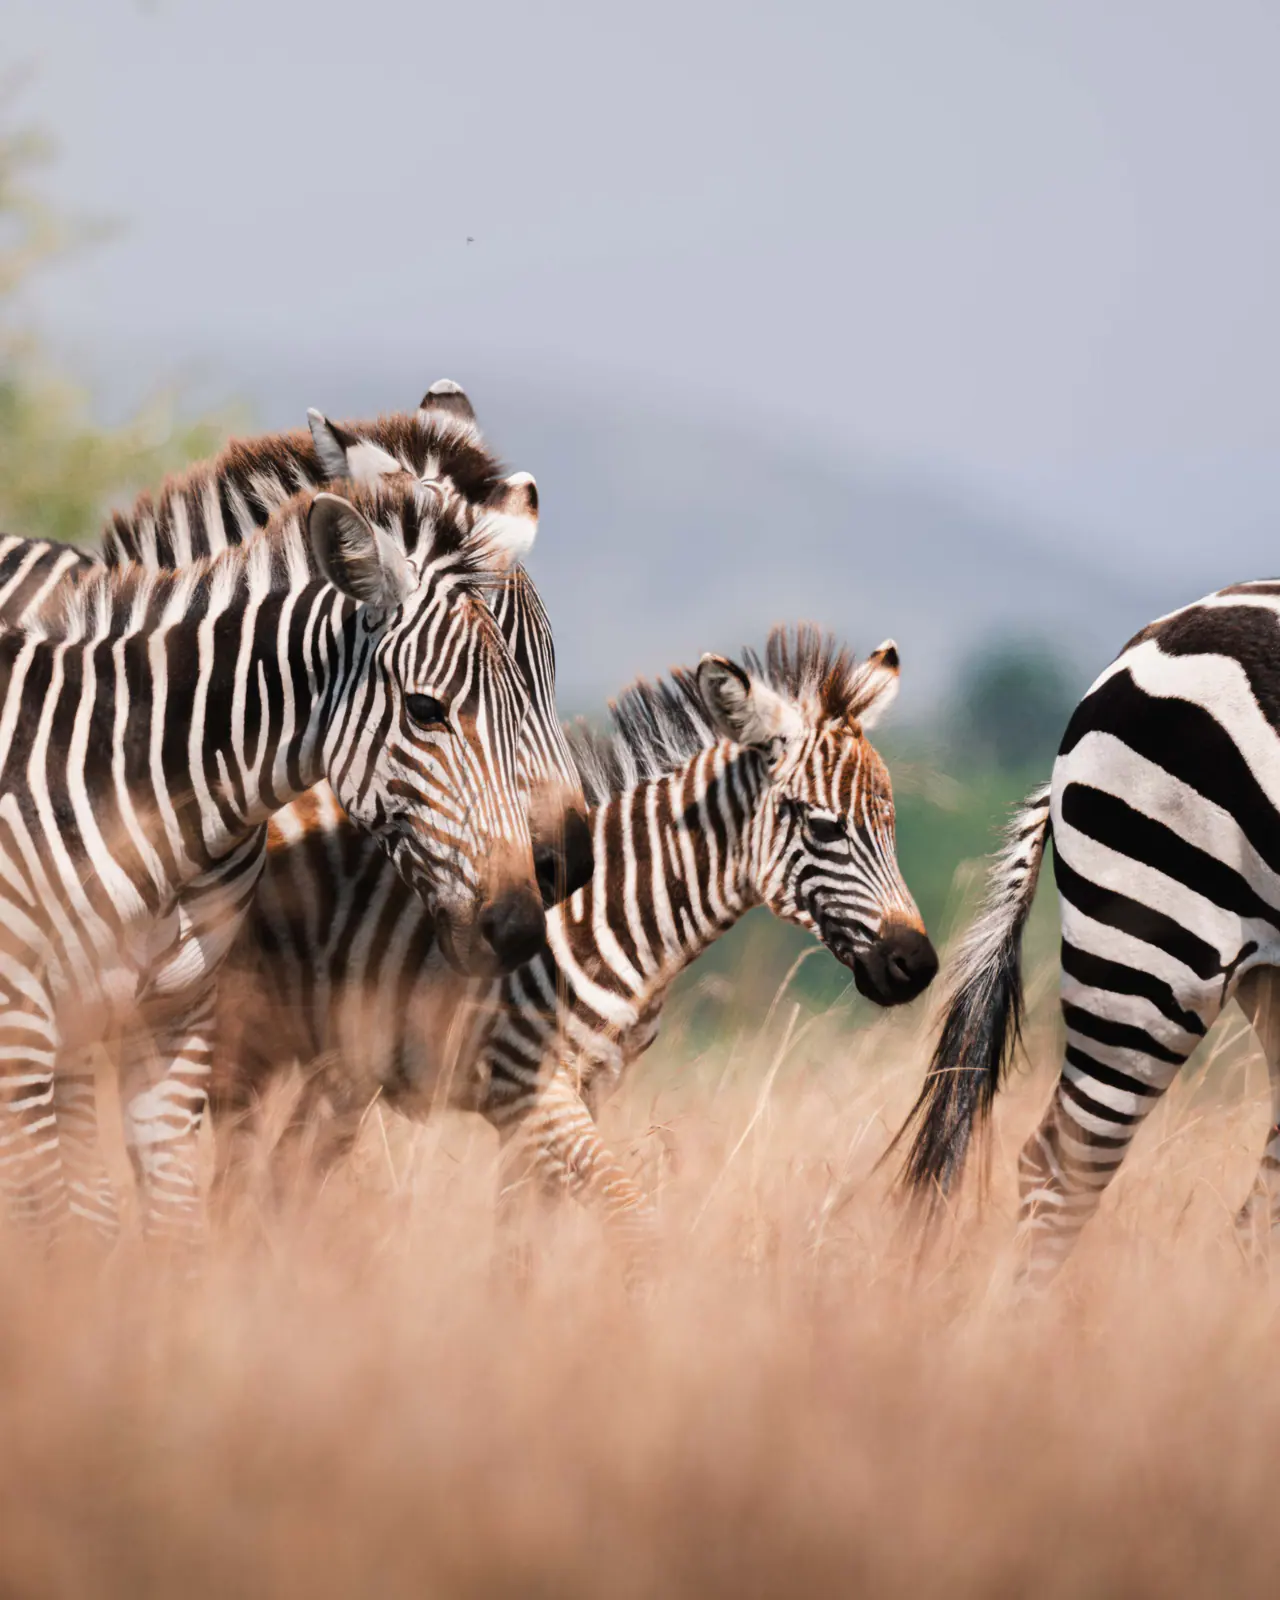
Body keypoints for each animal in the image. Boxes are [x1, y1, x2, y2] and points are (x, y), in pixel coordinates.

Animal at [0, 476, 541, 1239]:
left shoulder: (172, 1019)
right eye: (425, 709)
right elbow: (46, 1222)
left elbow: (171, 1217)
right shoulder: (21, 1022)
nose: (519, 925)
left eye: (524, 709)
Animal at [212, 625, 939, 1250]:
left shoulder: (571, 1096)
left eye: (892, 826)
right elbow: (632, 1218)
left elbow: (522, 1248)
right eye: (824, 827)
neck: (617, 910)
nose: (918, 965)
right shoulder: (528, 1088)